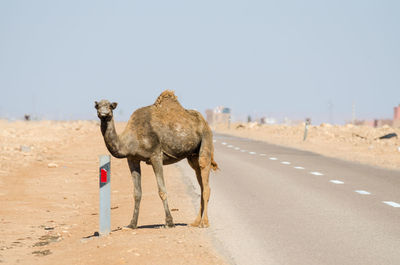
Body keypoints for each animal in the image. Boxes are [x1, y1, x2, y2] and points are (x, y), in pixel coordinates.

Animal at [94, 90, 219, 227]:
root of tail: (204, 121)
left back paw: (204, 222)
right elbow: (137, 193)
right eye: (97, 106)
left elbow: (162, 191)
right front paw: (132, 224)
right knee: (200, 180)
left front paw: (169, 222)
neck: (130, 140)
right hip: (192, 156)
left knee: (205, 180)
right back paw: (195, 222)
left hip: (206, 138)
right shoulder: (132, 159)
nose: (103, 113)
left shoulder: (155, 156)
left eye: (110, 106)